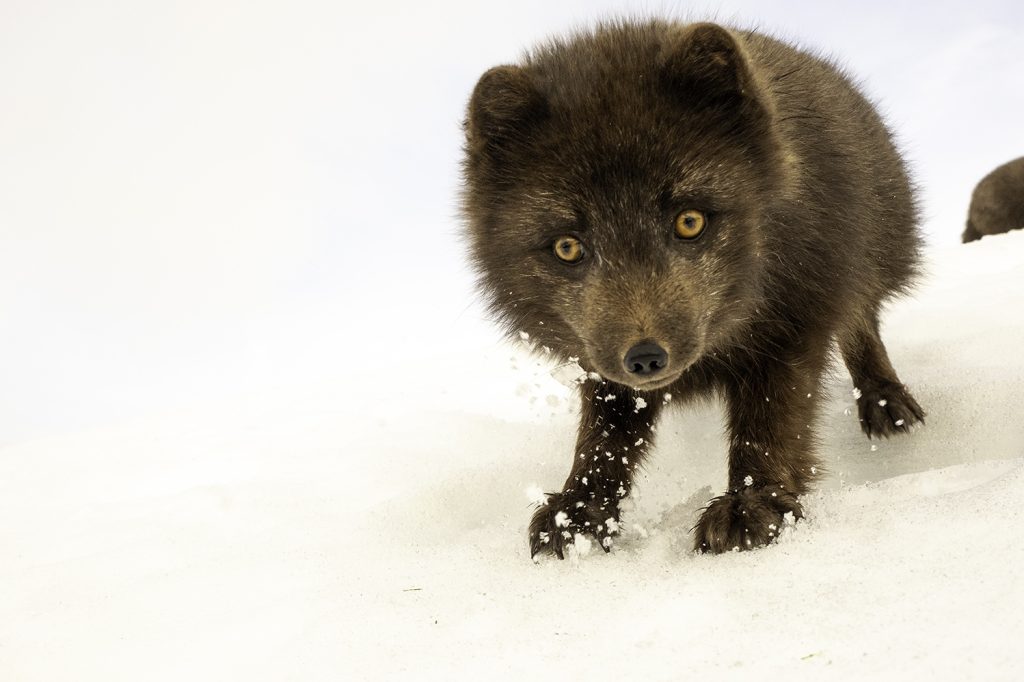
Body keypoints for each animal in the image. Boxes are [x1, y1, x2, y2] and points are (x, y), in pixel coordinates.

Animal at [460, 20, 925, 559]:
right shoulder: (602, 364)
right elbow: (602, 440)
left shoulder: (793, 323)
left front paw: (752, 505)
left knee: (860, 320)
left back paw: (885, 400)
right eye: (568, 247)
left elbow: (771, 421)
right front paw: (578, 512)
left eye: (689, 221)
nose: (645, 358)